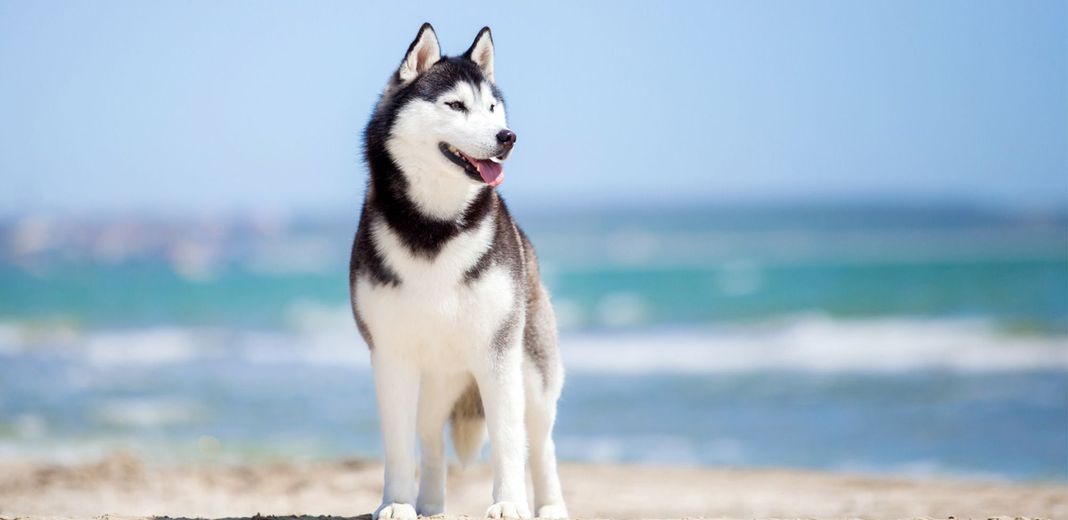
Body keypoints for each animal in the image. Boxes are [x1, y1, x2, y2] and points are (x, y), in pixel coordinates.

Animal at [348, 22, 568, 518]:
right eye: (455, 105)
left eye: (491, 107)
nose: (507, 136)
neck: (435, 225)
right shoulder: (390, 356)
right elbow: (398, 445)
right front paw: (396, 503)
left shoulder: (498, 355)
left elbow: (509, 442)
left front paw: (508, 504)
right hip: (433, 385)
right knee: (430, 440)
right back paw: (430, 504)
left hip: (533, 372)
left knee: (540, 442)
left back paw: (550, 507)